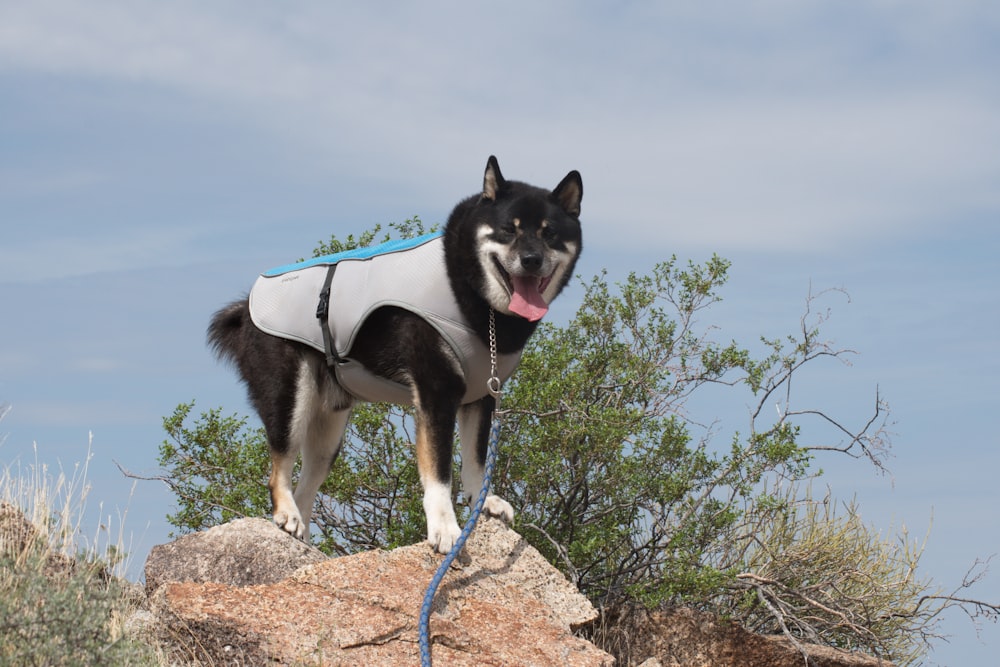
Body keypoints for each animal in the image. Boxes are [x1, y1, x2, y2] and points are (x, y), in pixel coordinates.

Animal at [207, 157, 584, 552]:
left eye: (549, 234)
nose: (531, 260)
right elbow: (439, 471)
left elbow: (476, 461)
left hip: (329, 431)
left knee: (306, 487)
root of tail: (245, 308)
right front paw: (445, 527)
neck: (467, 288)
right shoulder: (436, 393)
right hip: (290, 397)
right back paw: (286, 513)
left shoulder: (481, 395)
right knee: (280, 464)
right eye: (508, 230)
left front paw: (484, 502)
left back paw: (303, 536)